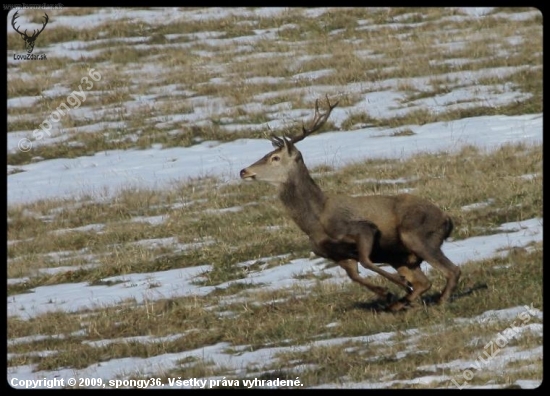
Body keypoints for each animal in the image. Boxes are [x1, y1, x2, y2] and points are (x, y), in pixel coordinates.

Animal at [242, 96, 462, 312]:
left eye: (275, 157)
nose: (243, 171)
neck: (316, 222)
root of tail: (447, 219)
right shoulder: (335, 255)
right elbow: (354, 276)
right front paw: (387, 293)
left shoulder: (362, 228)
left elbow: (365, 261)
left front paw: (398, 286)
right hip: (401, 255)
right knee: (424, 282)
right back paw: (402, 302)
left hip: (417, 235)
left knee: (452, 270)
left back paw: (438, 301)